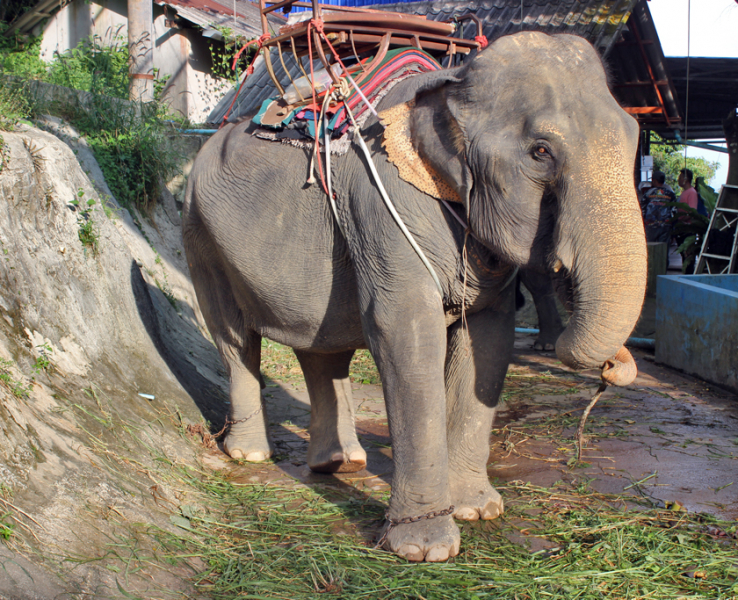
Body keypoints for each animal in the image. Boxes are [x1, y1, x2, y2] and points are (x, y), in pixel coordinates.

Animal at [183, 31, 644, 564]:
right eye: (541, 151)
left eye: (636, 137)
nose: (612, 369)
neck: (452, 86)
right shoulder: (383, 210)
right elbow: (405, 337)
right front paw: (425, 550)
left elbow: (488, 343)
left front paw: (480, 510)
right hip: (201, 236)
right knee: (234, 339)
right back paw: (251, 454)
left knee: (321, 346)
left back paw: (341, 463)